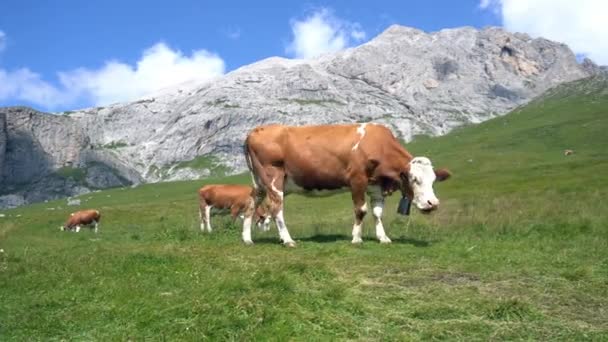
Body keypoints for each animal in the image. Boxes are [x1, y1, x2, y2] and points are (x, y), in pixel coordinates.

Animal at [243, 123, 452, 246]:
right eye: (415, 179)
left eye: (434, 180)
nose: (433, 203)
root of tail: (255, 131)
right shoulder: (357, 179)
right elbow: (361, 210)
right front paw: (357, 238)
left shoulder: (376, 185)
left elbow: (378, 212)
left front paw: (383, 237)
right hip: (274, 179)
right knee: (276, 208)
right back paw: (287, 240)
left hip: (260, 183)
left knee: (251, 204)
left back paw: (247, 238)